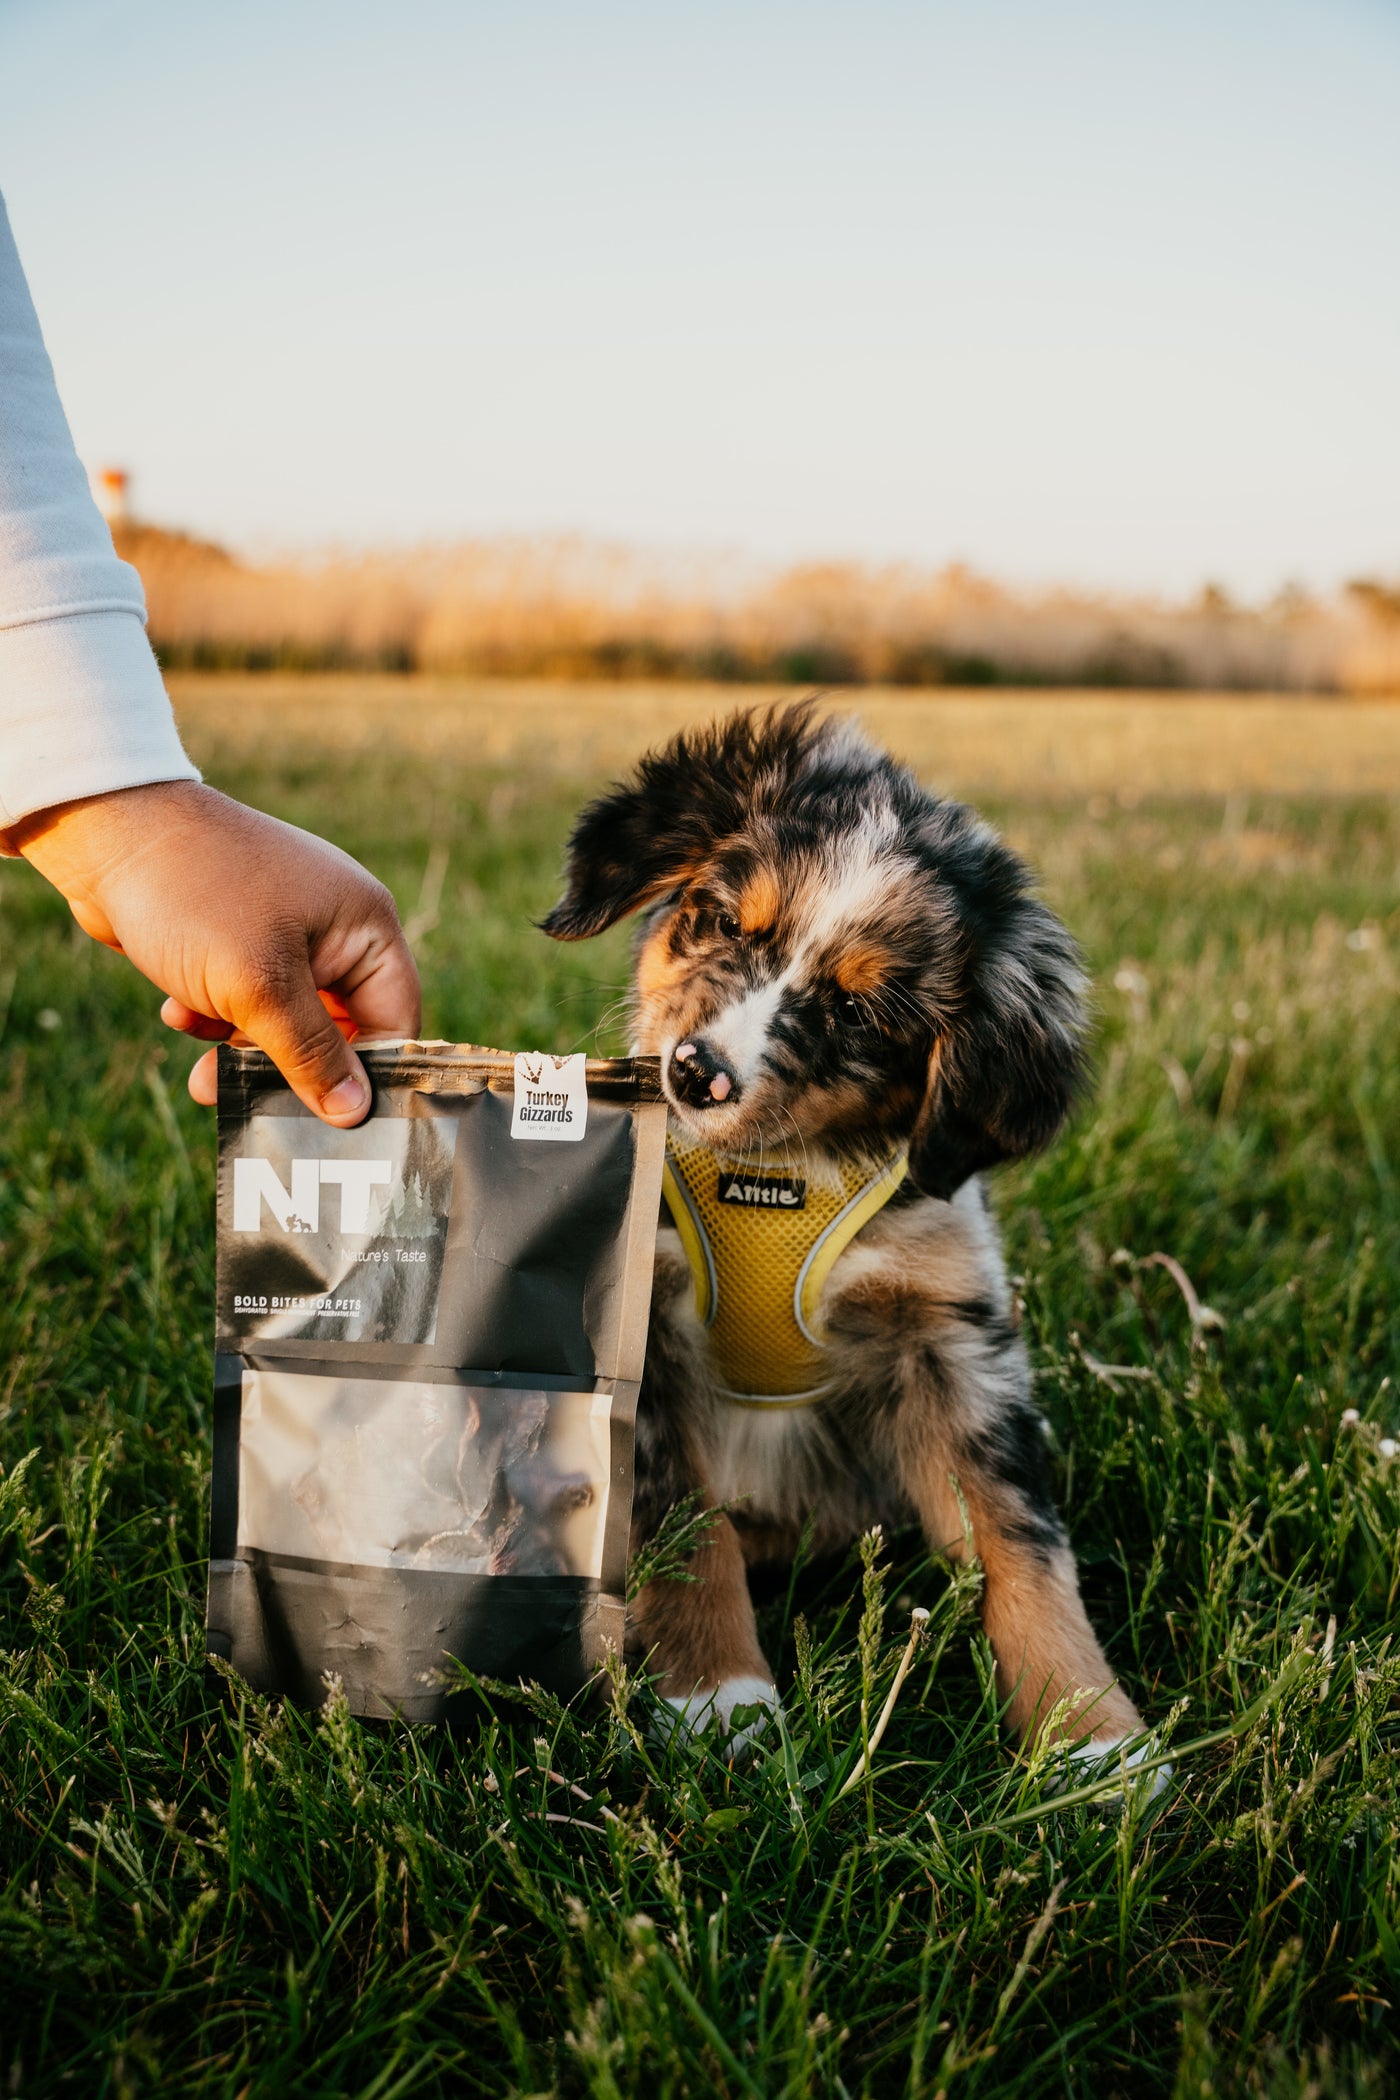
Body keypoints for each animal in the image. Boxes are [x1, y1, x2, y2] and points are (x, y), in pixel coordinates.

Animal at [541, 697, 1141, 1763]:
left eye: (858, 1012)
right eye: (723, 921)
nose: (695, 1073)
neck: (779, 1174)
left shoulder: (951, 1342)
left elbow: (1020, 1538)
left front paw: (1090, 1734)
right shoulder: (642, 1337)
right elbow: (683, 1524)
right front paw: (720, 1695)